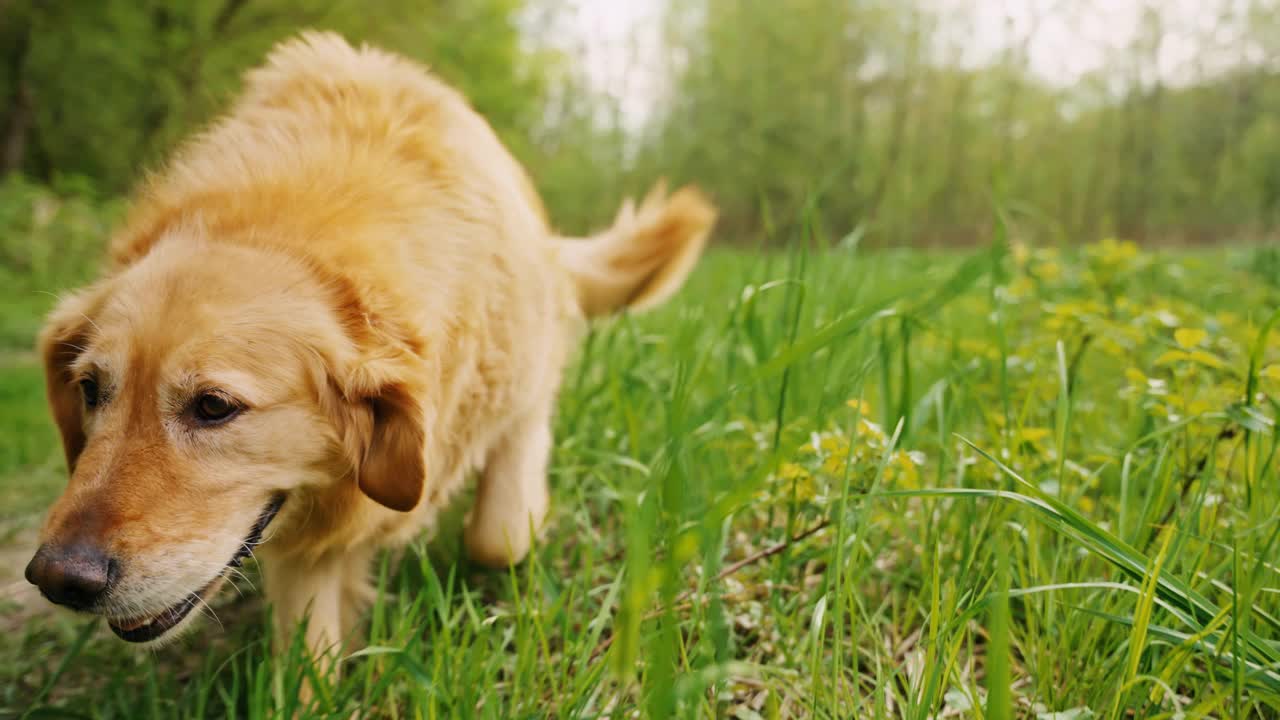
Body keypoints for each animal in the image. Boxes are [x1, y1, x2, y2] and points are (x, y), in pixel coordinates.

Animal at [22, 32, 711, 661]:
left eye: (214, 407)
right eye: (91, 389)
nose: (58, 579)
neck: (282, 227)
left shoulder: (519, 389)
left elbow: (501, 531)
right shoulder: (305, 537)